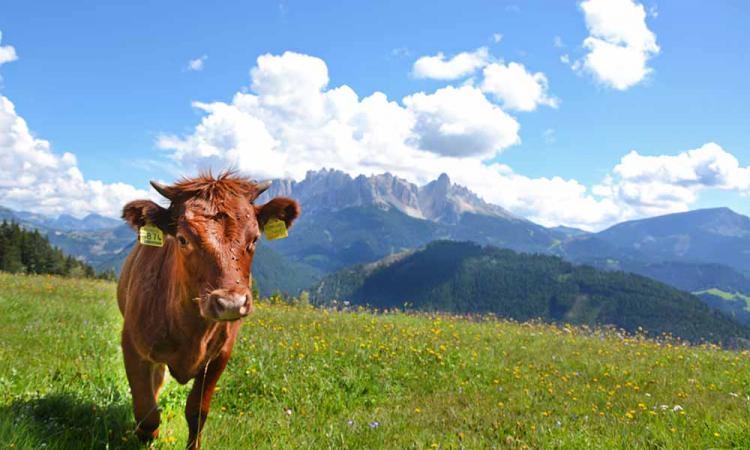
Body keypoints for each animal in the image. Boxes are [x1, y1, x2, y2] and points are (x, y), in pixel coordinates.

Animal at [117, 171, 300, 446]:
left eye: (255, 238)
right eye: (183, 239)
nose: (231, 303)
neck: (190, 330)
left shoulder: (219, 356)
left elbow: (197, 413)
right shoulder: (132, 347)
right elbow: (147, 413)